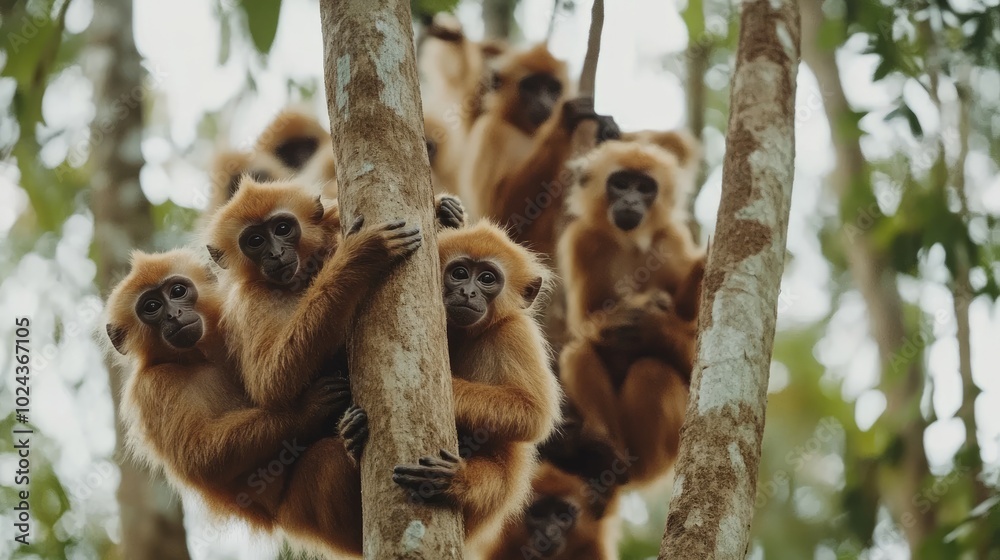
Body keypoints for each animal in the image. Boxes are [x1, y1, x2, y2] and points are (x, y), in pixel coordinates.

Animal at [458, 44, 620, 257]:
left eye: (552, 88)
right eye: (531, 86)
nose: (544, 101)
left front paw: (605, 128)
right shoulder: (491, 131)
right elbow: (502, 215)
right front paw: (565, 120)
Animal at [557, 133, 703, 333]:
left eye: (644, 188)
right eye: (621, 184)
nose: (631, 201)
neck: (630, 242)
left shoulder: (672, 239)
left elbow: (689, 317)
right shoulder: (582, 241)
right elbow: (584, 324)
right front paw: (626, 311)